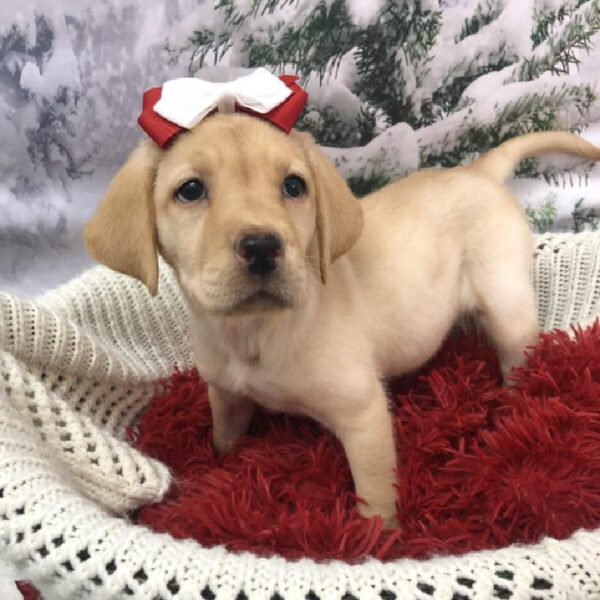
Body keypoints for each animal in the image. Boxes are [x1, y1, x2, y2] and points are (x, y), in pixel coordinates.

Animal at [83, 118, 600, 528]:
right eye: (190, 191)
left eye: (294, 187)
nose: (262, 246)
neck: (255, 331)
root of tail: (475, 173)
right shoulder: (225, 394)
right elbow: (224, 439)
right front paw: (214, 468)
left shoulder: (364, 415)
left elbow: (375, 494)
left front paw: (377, 542)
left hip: (507, 305)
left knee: (518, 359)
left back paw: (514, 408)